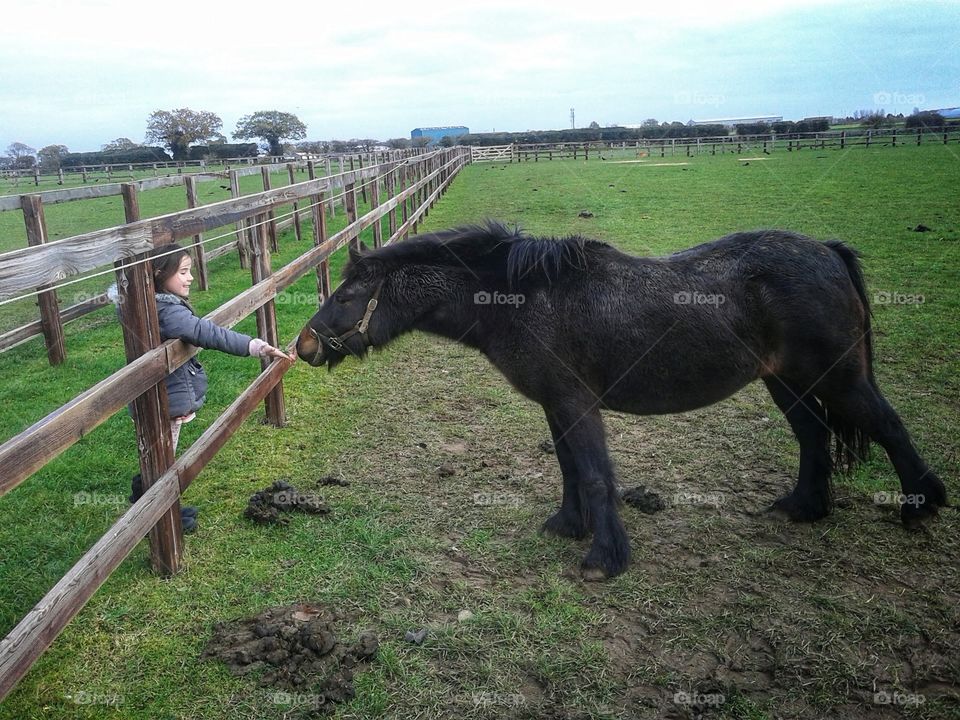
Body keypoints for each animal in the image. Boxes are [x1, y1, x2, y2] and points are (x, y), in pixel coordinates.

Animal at [296, 222, 947, 580]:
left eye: (349, 294)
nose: (304, 345)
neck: (521, 297)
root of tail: (827, 251)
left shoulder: (576, 403)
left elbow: (594, 473)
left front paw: (603, 558)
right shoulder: (556, 405)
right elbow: (569, 470)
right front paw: (568, 525)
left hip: (838, 379)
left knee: (888, 425)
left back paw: (921, 505)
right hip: (786, 382)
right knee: (813, 436)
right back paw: (802, 507)